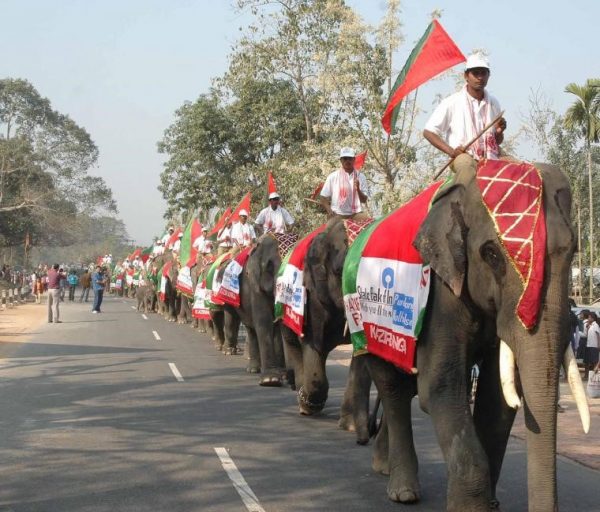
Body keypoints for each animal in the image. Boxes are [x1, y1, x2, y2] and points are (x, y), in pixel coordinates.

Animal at [364, 158, 588, 510]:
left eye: (574, 249)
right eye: (492, 255)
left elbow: (498, 398)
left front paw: (491, 504)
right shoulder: (440, 292)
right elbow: (439, 386)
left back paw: (383, 466)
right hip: (367, 324)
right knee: (393, 386)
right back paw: (403, 492)